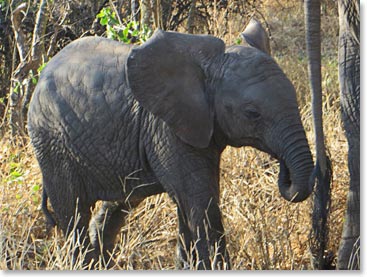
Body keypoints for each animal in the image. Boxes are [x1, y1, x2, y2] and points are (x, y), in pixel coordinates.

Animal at [28, 18, 314, 268]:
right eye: (252, 113)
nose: (283, 169)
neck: (206, 70)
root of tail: (41, 76)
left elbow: (188, 207)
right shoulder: (167, 129)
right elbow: (200, 204)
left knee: (117, 206)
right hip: (52, 143)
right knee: (73, 215)